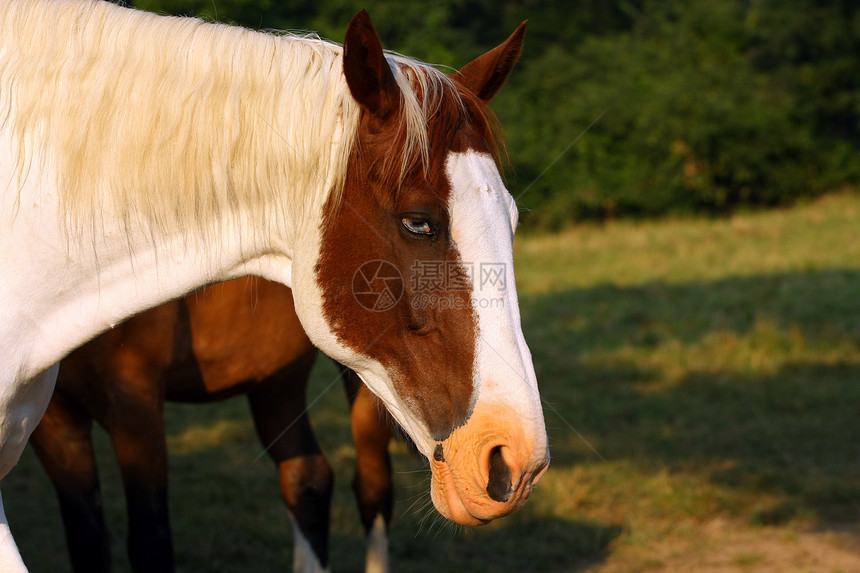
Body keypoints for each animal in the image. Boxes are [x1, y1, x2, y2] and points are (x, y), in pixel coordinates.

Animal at [29, 274, 394, 568]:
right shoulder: (55, 424)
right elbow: (87, 540)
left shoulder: (134, 407)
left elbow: (150, 541)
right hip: (276, 378)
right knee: (308, 482)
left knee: (372, 488)